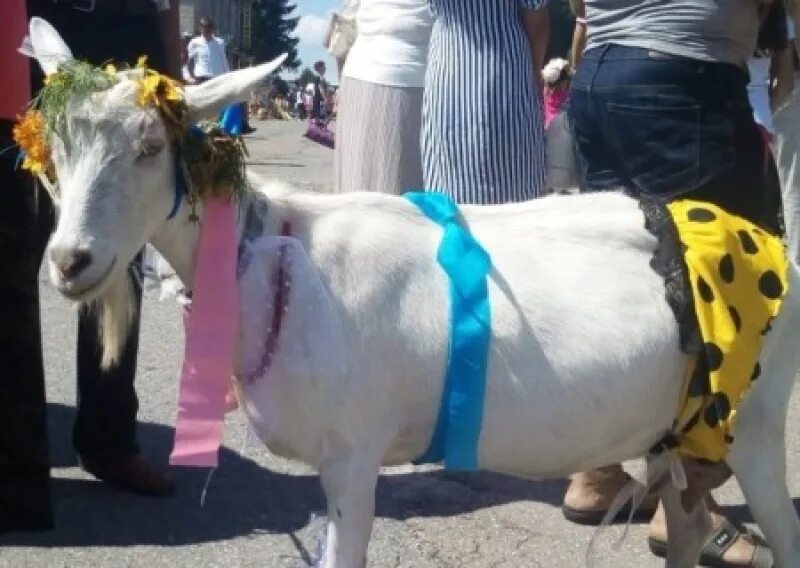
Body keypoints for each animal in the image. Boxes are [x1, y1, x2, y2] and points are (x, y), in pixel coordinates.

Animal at [31, 17, 800, 568]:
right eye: (54, 148)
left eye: (150, 147)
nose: (70, 262)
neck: (278, 254)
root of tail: (767, 241)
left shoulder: (352, 454)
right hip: (685, 427)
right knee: (688, 523)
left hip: (756, 423)